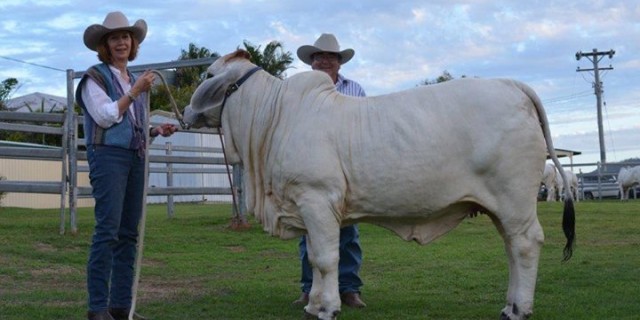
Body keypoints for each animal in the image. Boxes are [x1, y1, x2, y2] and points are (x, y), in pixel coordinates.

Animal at [184, 49, 576, 320]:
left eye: (208, 73)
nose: (185, 113)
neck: (273, 117)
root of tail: (513, 86)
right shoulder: (305, 207)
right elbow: (313, 259)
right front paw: (312, 304)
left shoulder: (316, 199)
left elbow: (325, 259)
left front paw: (328, 308)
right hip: (501, 206)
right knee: (511, 248)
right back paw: (510, 304)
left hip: (514, 200)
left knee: (525, 245)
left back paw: (519, 308)